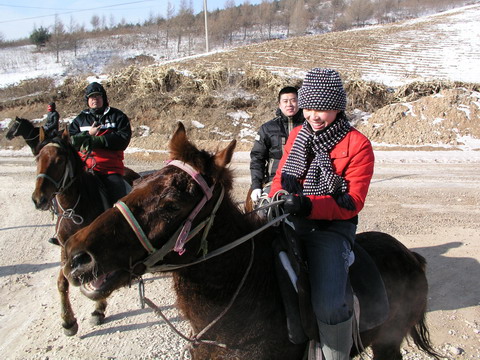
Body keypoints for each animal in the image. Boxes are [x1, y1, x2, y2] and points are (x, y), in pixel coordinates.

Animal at [31, 129, 140, 334]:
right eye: (37, 158)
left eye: (60, 160)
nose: (39, 199)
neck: (76, 209)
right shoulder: (65, 249)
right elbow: (62, 282)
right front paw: (68, 321)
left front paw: (98, 310)